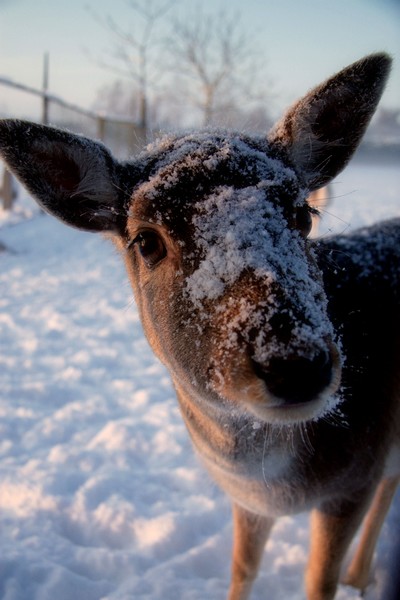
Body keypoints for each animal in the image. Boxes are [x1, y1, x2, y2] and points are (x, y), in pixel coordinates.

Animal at [0, 54, 398, 596]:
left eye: (304, 213)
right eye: (146, 240)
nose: (296, 364)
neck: (275, 483)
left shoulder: (358, 472)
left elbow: (319, 581)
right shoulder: (247, 500)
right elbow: (242, 566)